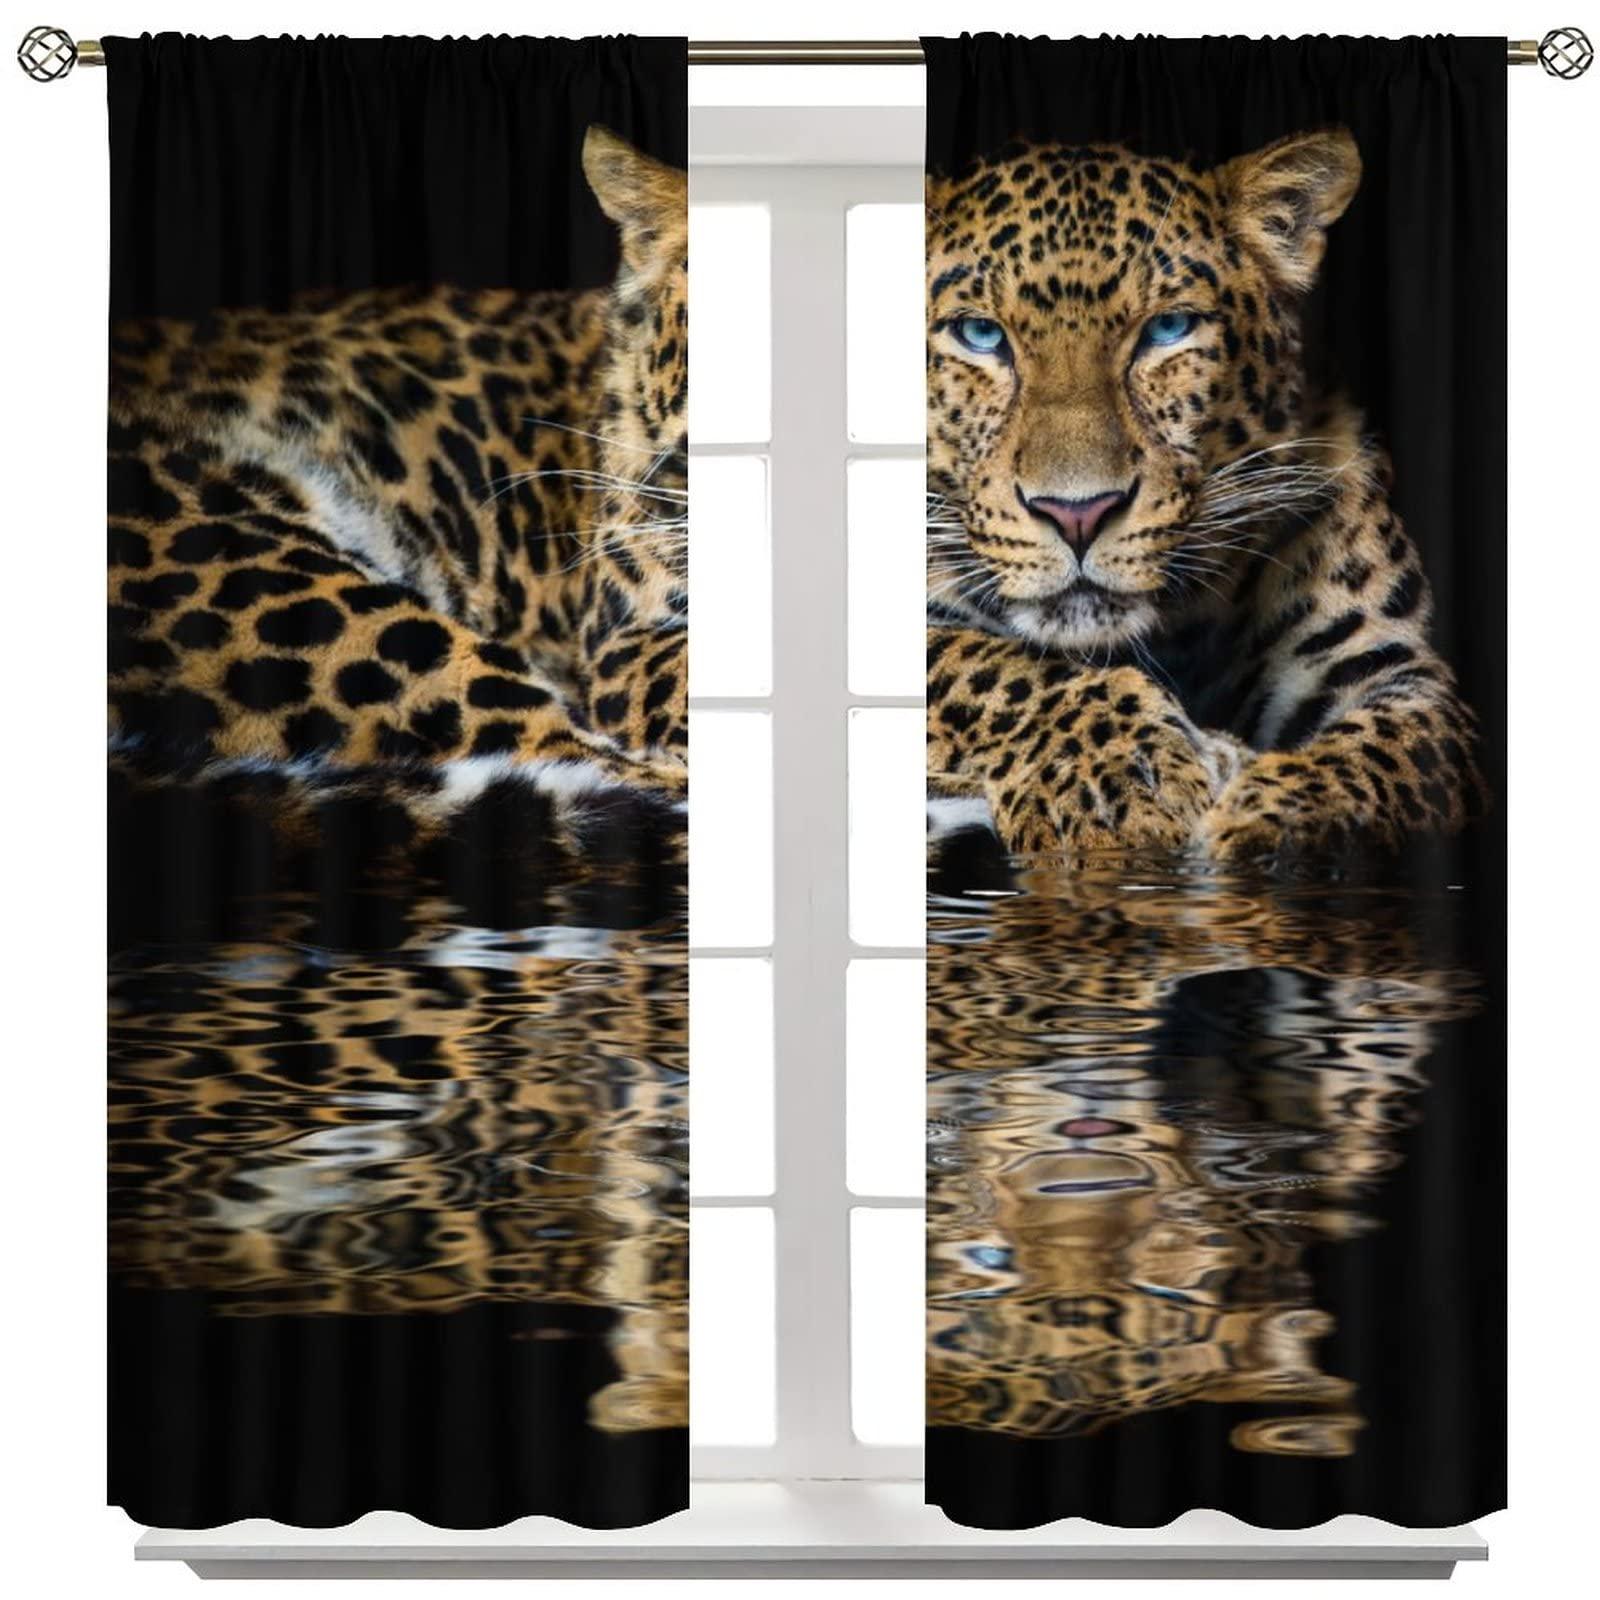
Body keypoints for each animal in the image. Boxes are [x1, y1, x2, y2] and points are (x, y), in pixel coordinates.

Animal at [925, 129, 1485, 861]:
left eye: (1168, 329)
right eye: (980, 335)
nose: (1078, 514)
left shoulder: (1399, 672)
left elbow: (1385, 760)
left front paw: (1266, 820)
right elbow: (988, 667)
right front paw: (1119, 778)